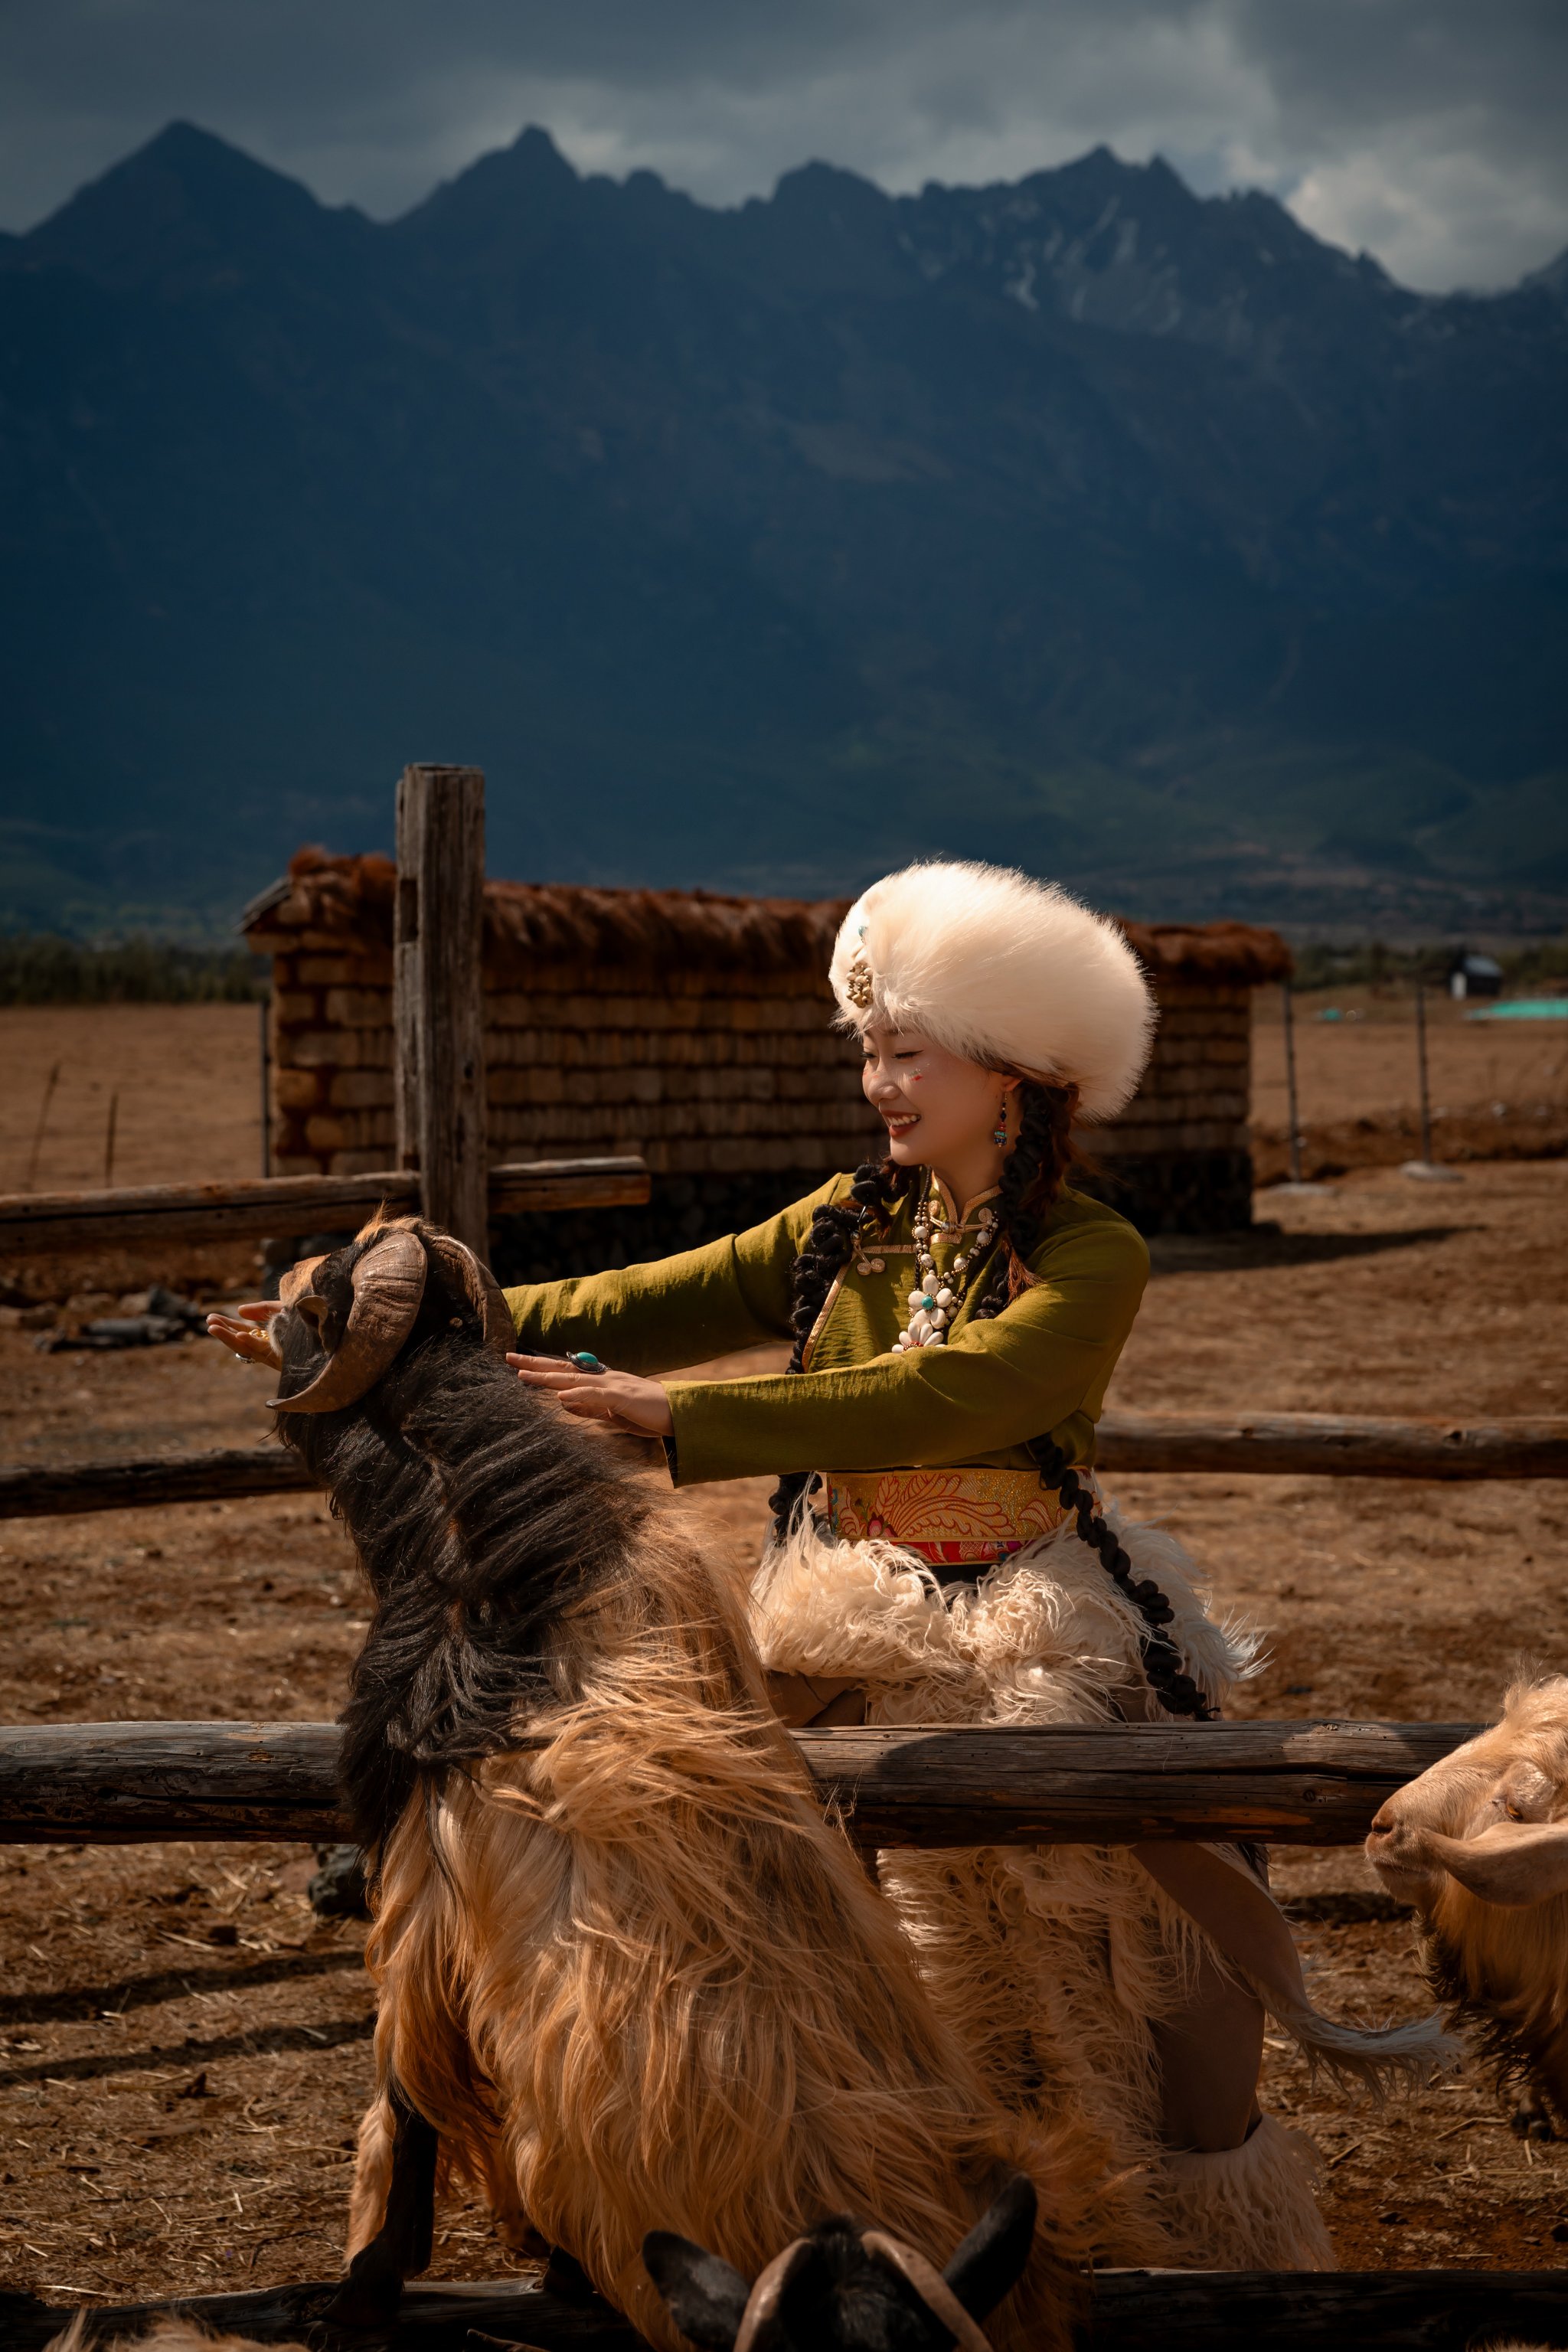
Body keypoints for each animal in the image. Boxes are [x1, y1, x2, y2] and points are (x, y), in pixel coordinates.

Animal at [211, 1232, 1090, 2352]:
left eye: (312, 1306)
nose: (253, 1301)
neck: (523, 1582)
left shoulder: (416, 1882)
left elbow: (403, 2102)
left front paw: (364, 2294)